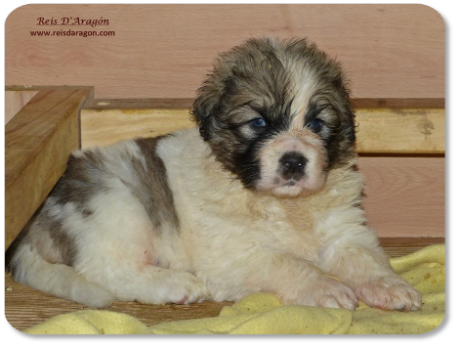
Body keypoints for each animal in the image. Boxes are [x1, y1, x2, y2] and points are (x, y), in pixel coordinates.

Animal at [7, 37, 422, 310]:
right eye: (258, 122)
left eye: (317, 124)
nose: (293, 161)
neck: (284, 207)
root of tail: (37, 220)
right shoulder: (236, 253)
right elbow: (288, 263)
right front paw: (325, 287)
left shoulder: (345, 231)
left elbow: (364, 259)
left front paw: (390, 286)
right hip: (118, 204)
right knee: (105, 269)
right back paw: (175, 285)